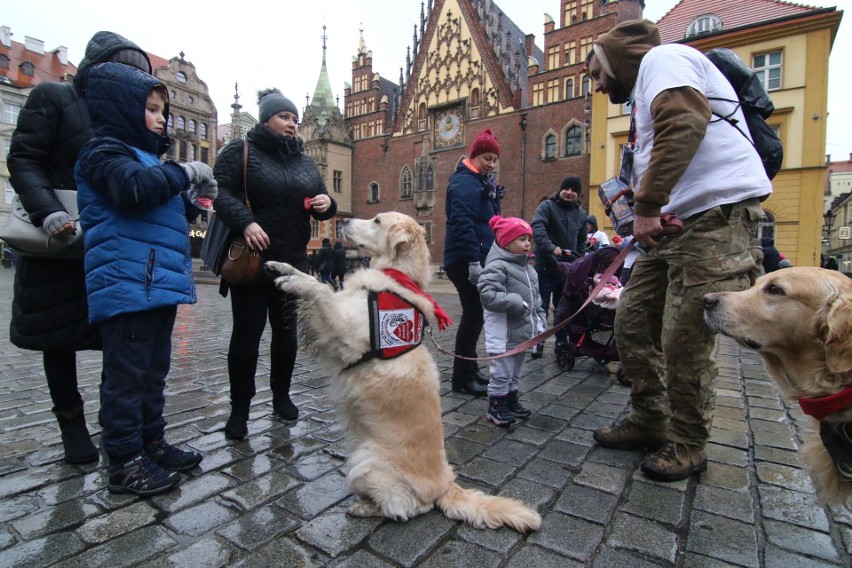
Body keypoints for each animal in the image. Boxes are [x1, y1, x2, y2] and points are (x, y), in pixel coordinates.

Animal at [266, 212, 540, 532]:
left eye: (376, 220)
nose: (343, 222)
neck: (395, 279)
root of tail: (446, 484)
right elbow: (318, 281)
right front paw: (284, 268)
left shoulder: (346, 332)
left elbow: (322, 289)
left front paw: (293, 281)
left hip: (366, 463)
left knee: (410, 507)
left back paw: (365, 508)